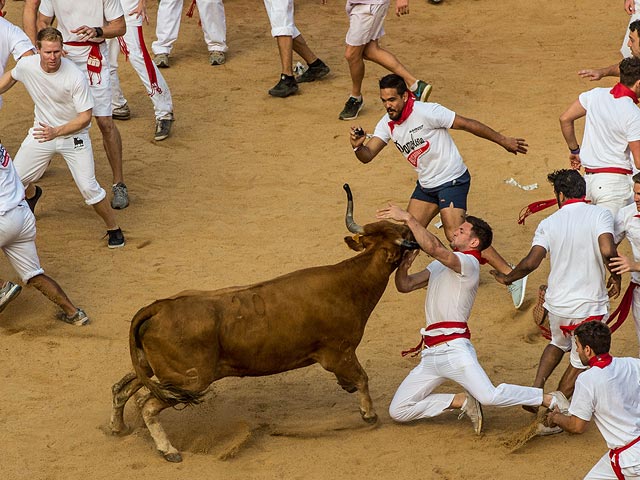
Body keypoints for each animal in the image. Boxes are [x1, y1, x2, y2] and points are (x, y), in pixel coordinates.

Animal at [109, 184, 420, 462]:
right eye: (402, 234)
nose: (412, 229)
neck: (351, 281)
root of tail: (159, 306)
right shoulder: (340, 353)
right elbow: (362, 378)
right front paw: (369, 414)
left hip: (153, 370)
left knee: (122, 388)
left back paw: (118, 427)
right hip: (189, 381)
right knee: (147, 405)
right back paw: (168, 450)